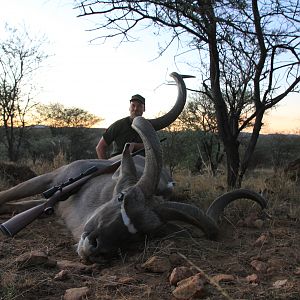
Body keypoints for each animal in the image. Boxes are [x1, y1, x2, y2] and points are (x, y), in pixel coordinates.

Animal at [0, 73, 268, 262]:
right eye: (121, 197)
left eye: (143, 233)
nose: (96, 248)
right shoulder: (51, 180)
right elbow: (7, 197)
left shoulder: (50, 203)